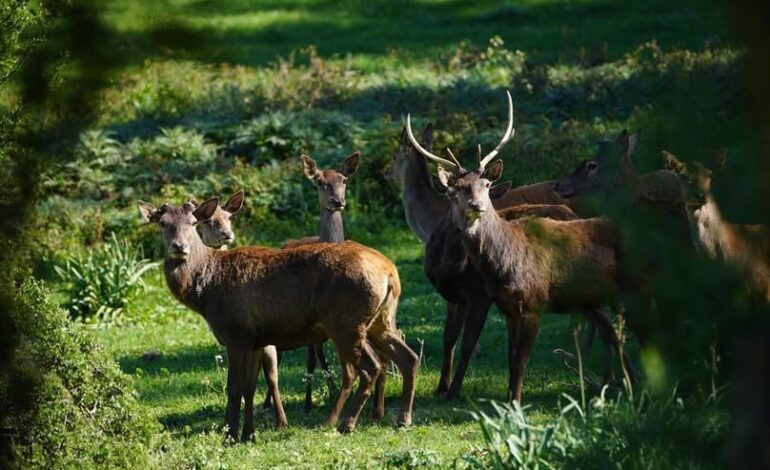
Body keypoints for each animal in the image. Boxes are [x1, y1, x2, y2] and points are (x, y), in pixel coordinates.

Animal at [137, 198, 419, 439]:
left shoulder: (236, 333)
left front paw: (230, 436)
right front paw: (249, 435)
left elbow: (234, 388)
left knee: (371, 367)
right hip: (381, 320)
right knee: (409, 357)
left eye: (193, 222)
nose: (179, 247)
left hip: (347, 322)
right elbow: (250, 387)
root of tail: (390, 273)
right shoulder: (255, 339)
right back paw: (403, 418)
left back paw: (346, 424)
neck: (205, 291)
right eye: (163, 223)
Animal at [406, 91, 631, 401]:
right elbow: (450, 338)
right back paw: (608, 379)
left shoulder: (481, 294)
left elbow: (471, 343)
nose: (477, 205)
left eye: (487, 184)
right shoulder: (456, 296)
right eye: (456, 189)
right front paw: (443, 387)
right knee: (607, 327)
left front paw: (456, 390)